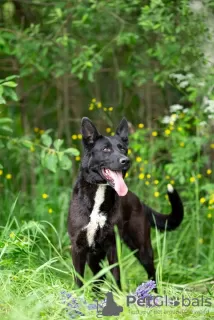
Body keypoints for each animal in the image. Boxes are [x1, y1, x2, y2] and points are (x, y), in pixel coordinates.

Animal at [67, 116, 183, 288]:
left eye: (122, 149)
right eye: (106, 149)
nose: (126, 161)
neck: (99, 192)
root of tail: (139, 200)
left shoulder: (113, 246)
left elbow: (116, 278)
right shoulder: (78, 247)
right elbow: (79, 281)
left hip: (143, 249)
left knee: (152, 274)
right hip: (93, 258)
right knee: (98, 280)